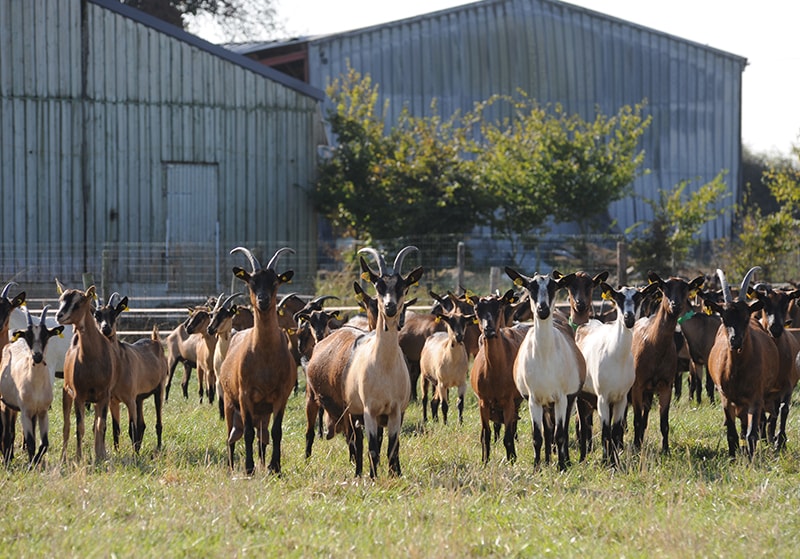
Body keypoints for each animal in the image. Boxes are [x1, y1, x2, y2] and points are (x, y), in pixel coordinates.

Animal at [0, 304, 63, 466]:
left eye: (46, 335)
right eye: (28, 335)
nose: (37, 356)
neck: (36, 386)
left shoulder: (42, 412)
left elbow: (44, 443)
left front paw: (35, 461)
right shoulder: (25, 412)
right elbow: (30, 442)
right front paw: (30, 465)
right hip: (6, 404)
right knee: (6, 432)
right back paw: (7, 459)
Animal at [217, 247, 296, 474]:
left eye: (275, 282)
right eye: (251, 282)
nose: (263, 300)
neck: (266, 358)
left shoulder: (281, 396)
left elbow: (276, 431)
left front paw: (274, 467)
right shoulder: (245, 396)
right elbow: (248, 432)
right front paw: (249, 468)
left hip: (263, 412)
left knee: (263, 436)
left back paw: (262, 462)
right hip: (229, 402)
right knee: (232, 436)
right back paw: (233, 466)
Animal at [506, 270, 588, 470]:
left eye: (553, 287)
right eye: (530, 287)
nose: (542, 310)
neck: (544, 358)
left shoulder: (561, 397)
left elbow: (560, 434)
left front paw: (562, 466)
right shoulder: (533, 399)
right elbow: (538, 436)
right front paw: (537, 466)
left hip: (567, 399)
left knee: (562, 430)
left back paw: (564, 460)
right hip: (545, 403)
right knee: (548, 430)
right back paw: (547, 459)